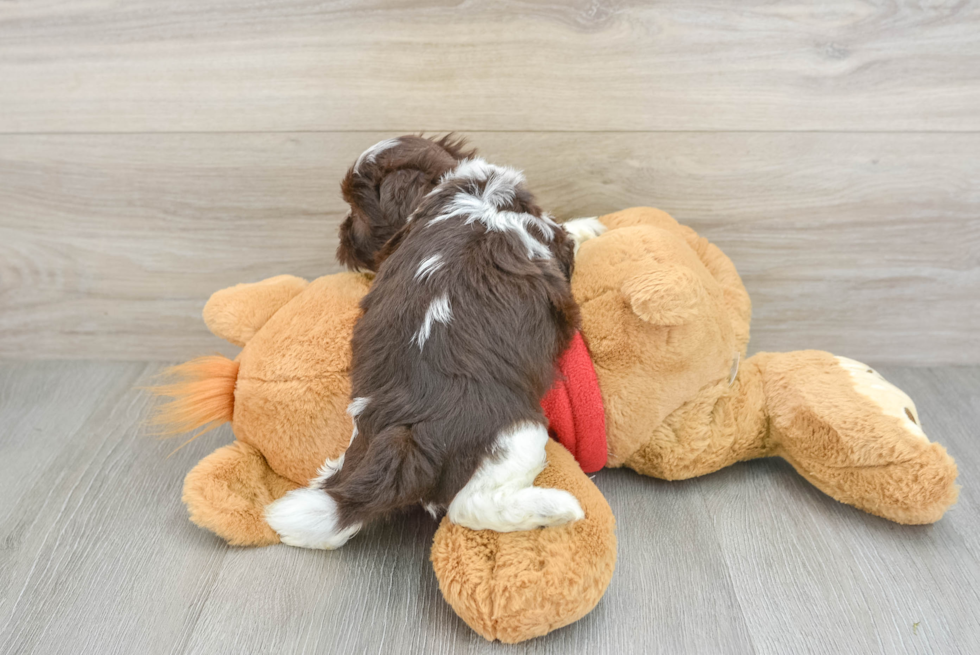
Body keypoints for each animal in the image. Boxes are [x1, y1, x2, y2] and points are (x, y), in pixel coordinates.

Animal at [264, 155, 600, 548]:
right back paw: (557, 509)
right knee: (469, 505)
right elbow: (565, 234)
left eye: (356, 212)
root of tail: (407, 437)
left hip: (359, 441)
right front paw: (590, 226)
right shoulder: (547, 235)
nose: (342, 236)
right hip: (519, 434)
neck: (461, 192)